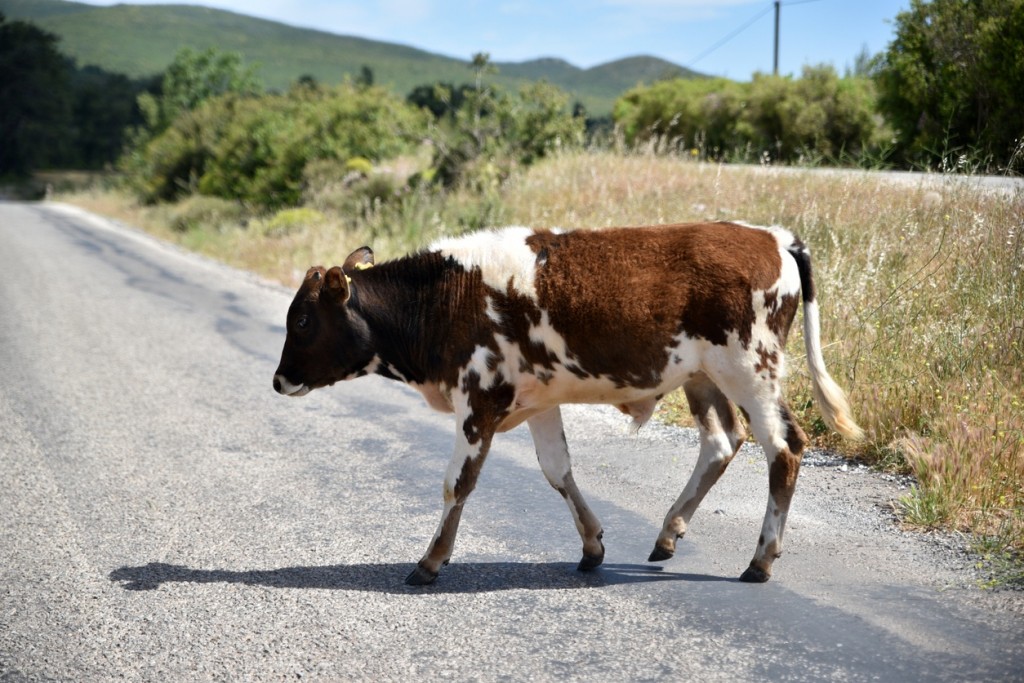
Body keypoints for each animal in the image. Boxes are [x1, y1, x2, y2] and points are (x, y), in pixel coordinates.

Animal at [274, 222, 864, 585]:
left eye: (301, 320)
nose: (278, 381)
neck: (446, 296)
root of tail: (770, 235)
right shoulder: (536, 400)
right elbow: (557, 471)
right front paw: (592, 546)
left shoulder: (480, 399)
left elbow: (457, 483)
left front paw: (431, 560)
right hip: (703, 375)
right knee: (722, 442)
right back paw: (669, 533)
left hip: (751, 369)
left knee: (783, 447)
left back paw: (760, 559)